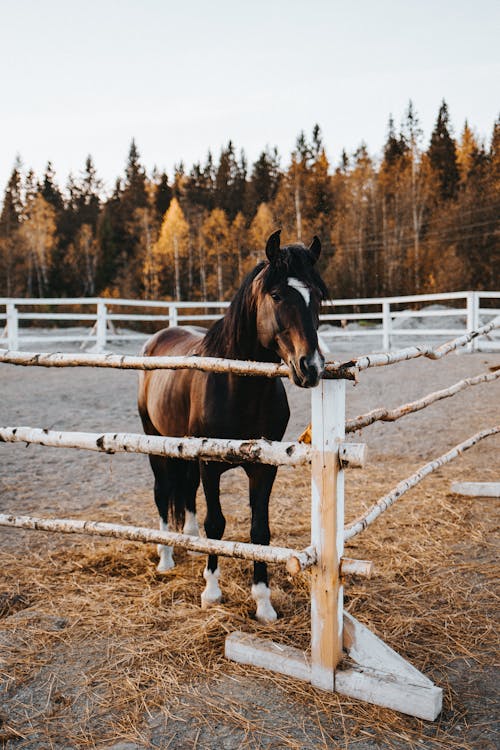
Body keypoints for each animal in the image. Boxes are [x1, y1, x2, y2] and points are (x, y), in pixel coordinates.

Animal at [139, 231, 326, 624]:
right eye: (277, 295)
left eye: (317, 295)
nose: (311, 366)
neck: (237, 385)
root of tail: (157, 338)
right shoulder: (211, 464)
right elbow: (217, 524)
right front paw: (211, 591)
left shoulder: (263, 467)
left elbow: (260, 530)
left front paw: (264, 603)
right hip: (155, 443)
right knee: (163, 494)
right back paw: (166, 558)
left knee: (185, 492)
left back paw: (190, 543)